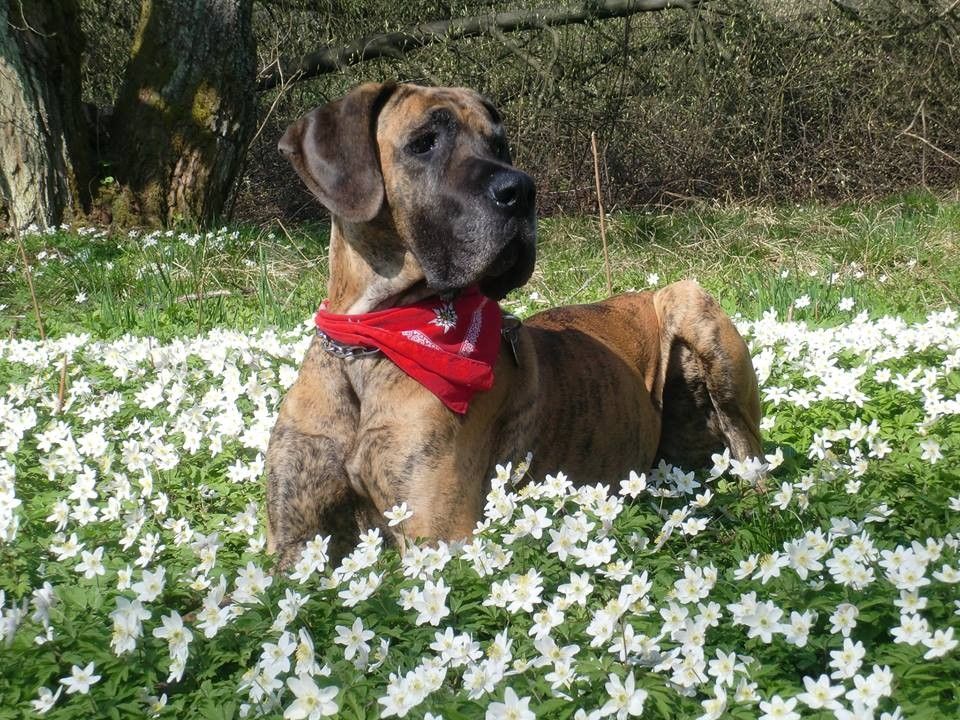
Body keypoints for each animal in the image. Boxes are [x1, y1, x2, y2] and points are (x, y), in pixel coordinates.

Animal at [266, 82, 762, 569]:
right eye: (424, 142)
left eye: (499, 146)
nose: (521, 189)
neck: (370, 341)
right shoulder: (293, 545)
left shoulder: (438, 536)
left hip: (692, 306)